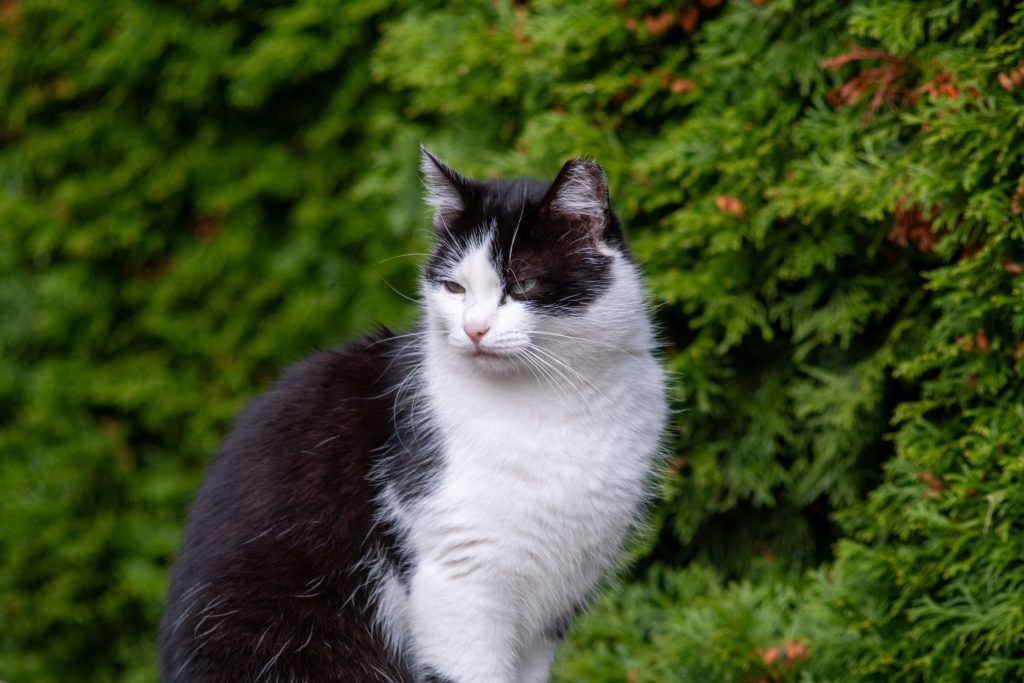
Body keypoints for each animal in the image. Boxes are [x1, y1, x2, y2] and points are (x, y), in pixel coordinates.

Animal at [157, 150, 671, 683]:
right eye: (454, 288)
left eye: (524, 284)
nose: (474, 328)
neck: (554, 404)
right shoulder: (458, 578)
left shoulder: (554, 606)